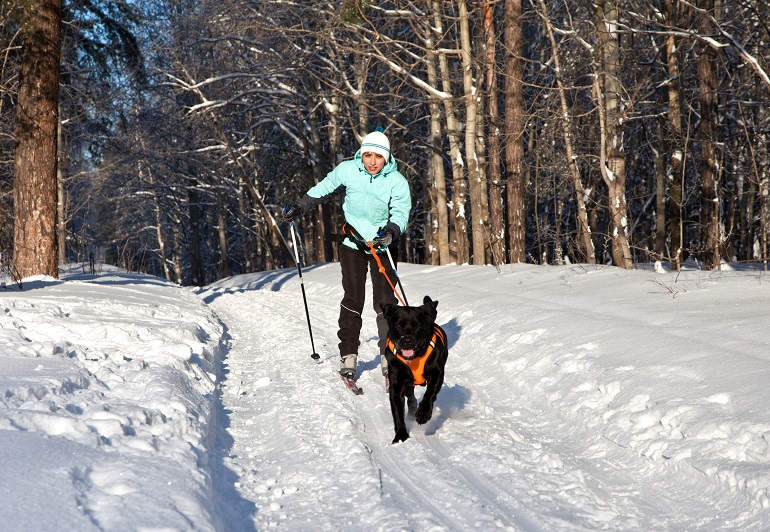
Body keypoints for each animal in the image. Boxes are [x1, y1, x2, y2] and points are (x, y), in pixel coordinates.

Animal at [380, 298, 448, 442]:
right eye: (398, 325)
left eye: (417, 325)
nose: (407, 340)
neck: (414, 358)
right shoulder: (396, 383)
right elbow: (397, 411)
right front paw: (400, 437)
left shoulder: (437, 372)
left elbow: (430, 393)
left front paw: (423, 414)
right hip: (407, 384)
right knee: (410, 396)